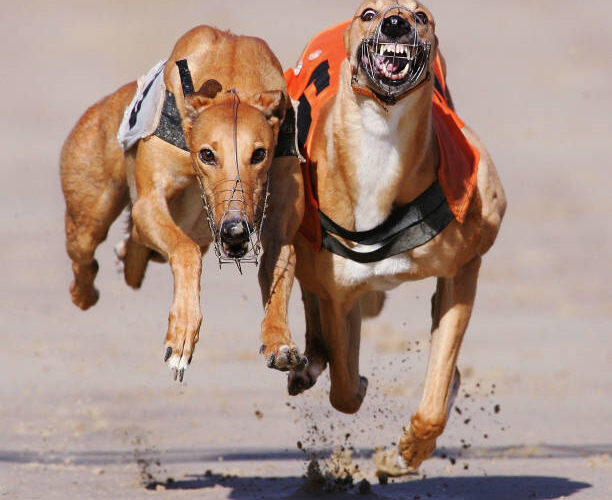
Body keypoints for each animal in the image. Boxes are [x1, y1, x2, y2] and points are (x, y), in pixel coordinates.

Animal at [60, 26, 305, 381]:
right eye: (207, 154)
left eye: (259, 154)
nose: (235, 231)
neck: (232, 79)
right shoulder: (149, 204)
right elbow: (185, 251)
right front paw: (182, 337)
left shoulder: (278, 229)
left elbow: (277, 270)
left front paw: (279, 342)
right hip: (89, 219)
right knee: (87, 257)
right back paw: (84, 292)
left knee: (136, 249)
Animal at [282, 1, 506, 470]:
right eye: (369, 13)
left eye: (422, 17)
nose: (396, 23)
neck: (381, 145)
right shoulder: (340, 295)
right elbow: (345, 391)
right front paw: (349, 378)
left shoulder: (462, 270)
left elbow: (440, 382)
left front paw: (416, 445)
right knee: (310, 300)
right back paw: (309, 361)